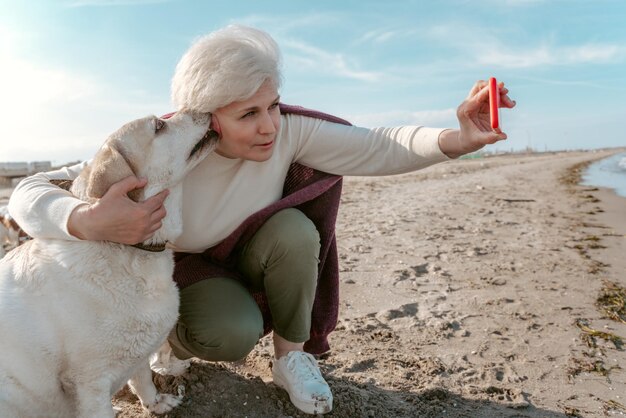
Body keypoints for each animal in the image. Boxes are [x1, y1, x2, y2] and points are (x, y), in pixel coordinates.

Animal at [0, 111, 217, 418]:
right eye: (158, 125)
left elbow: (142, 377)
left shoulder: (138, 350)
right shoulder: (89, 382)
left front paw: (154, 402)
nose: (206, 111)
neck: (128, 250)